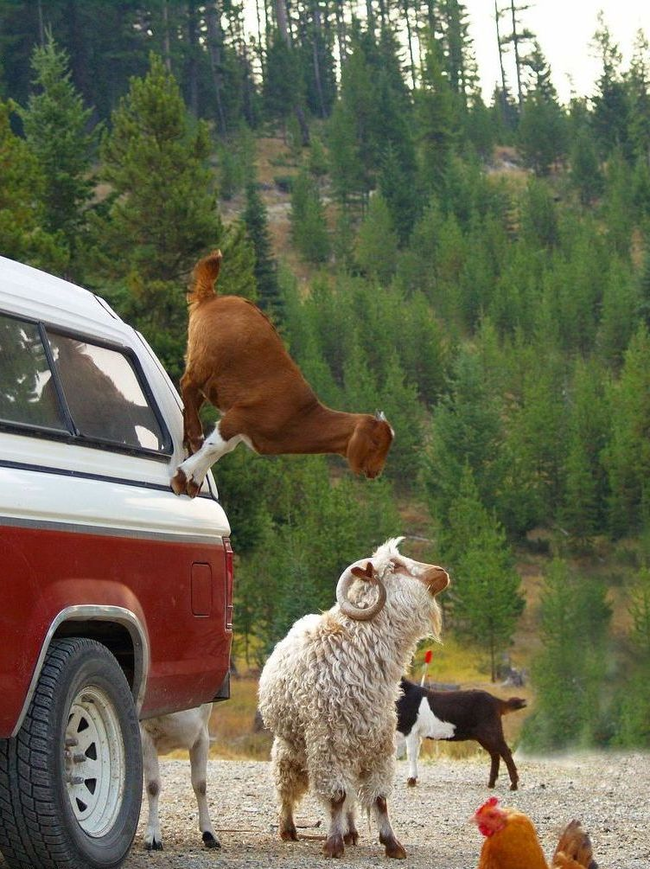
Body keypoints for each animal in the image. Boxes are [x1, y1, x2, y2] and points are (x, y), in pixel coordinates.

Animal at [170, 251, 392, 496]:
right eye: (376, 443)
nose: (376, 472)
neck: (300, 415)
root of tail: (212, 297)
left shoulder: (243, 429)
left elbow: (221, 450)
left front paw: (193, 483)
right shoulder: (240, 417)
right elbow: (214, 447)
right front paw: (182, 479)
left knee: (193, 394)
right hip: (206, 358)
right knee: (187, 383)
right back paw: (194, 434)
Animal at [256, 540, 448, 856]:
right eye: (395, 565)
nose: (441, 572)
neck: (355, 648)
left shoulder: (378, 744)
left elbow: (378, 798)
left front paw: (391, 843)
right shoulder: (329, 743)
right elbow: (336, 797)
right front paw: (333, 844)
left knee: (349, 799)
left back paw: (351, 831)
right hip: (291, 745)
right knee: (287, 785)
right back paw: (288, 828)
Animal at [392, 680, 524, 792]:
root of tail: (496, 701)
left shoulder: (411, 730)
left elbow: (411, 754)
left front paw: (411, 781)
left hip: (491, 731)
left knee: (505, 752)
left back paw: (513, 785)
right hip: (483, 736)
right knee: (495, 754)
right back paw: (491, 784)